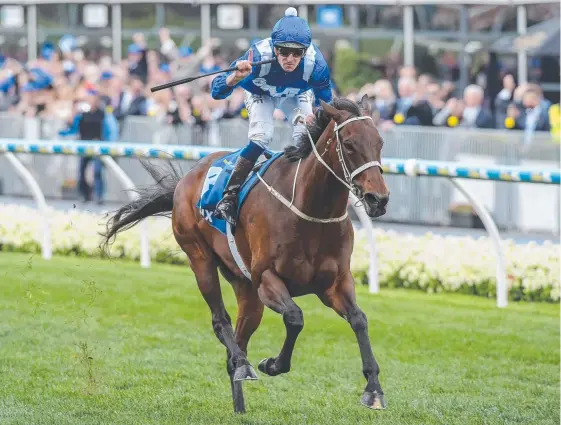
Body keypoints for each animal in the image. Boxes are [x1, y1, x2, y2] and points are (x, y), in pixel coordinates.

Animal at [100, 95, 390, 410]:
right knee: (221, 322)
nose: (379, 199)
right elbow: (295, 317)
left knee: (237, 342)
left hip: (246, 290)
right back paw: (244, 365)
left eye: (380, 142)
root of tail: (187, 177)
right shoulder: (266, 279)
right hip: (200, 259)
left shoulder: (335, 283)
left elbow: (359, 319)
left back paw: (239, 397)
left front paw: (373, 388)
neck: (310, 210)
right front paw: (272, 364)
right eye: (348, 144)